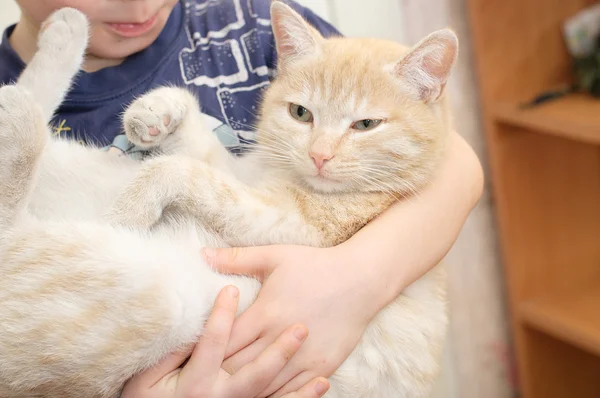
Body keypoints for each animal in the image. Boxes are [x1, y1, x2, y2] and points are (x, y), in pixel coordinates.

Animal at [0, 3, 458, 398]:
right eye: (300, 113)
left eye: (365, 125)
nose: (319, 156)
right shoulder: (239, 173)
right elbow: (197, 146)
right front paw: (156, 111)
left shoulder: (294, 223)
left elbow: (185, 173)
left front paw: (133, 205)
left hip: (153, 298)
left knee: (13, 214)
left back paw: (28, 93)